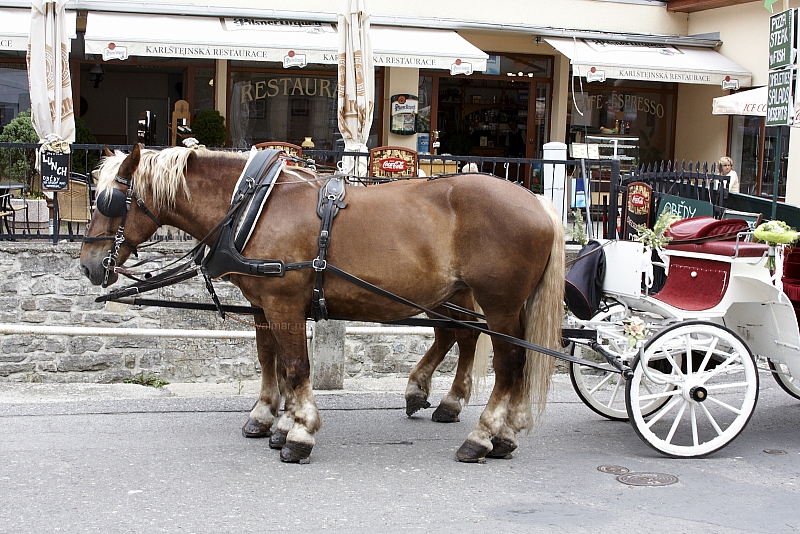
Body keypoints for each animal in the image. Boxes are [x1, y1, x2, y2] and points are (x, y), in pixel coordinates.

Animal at [81, 146, 564, 464]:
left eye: (109, 201)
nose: (88, 265)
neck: (253, 204)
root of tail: (538, 202)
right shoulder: (263, 306)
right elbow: (270, 361)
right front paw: (270, 418)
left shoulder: (283, 303)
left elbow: (296, 367)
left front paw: (298, 432)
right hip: (462, 297)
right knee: (468, 340)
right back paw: (488, 422)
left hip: (498, 303)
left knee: (508, 361)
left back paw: (483, 435)